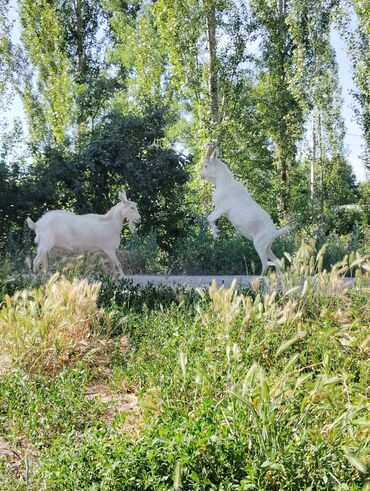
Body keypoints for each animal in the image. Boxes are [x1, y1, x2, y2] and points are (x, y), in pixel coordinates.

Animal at [201, 146, 290, 276]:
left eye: (206, 165)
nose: (201, 176)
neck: (225, 184)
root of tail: (274, 232)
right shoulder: (218, 209)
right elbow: (209, 218)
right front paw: (215, 233)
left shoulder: (221, 209)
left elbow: (209, 218)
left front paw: (216, 233)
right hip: (267, 247)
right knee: (277, 261)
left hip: (259, 245)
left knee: (265, 264)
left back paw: (259, 278)